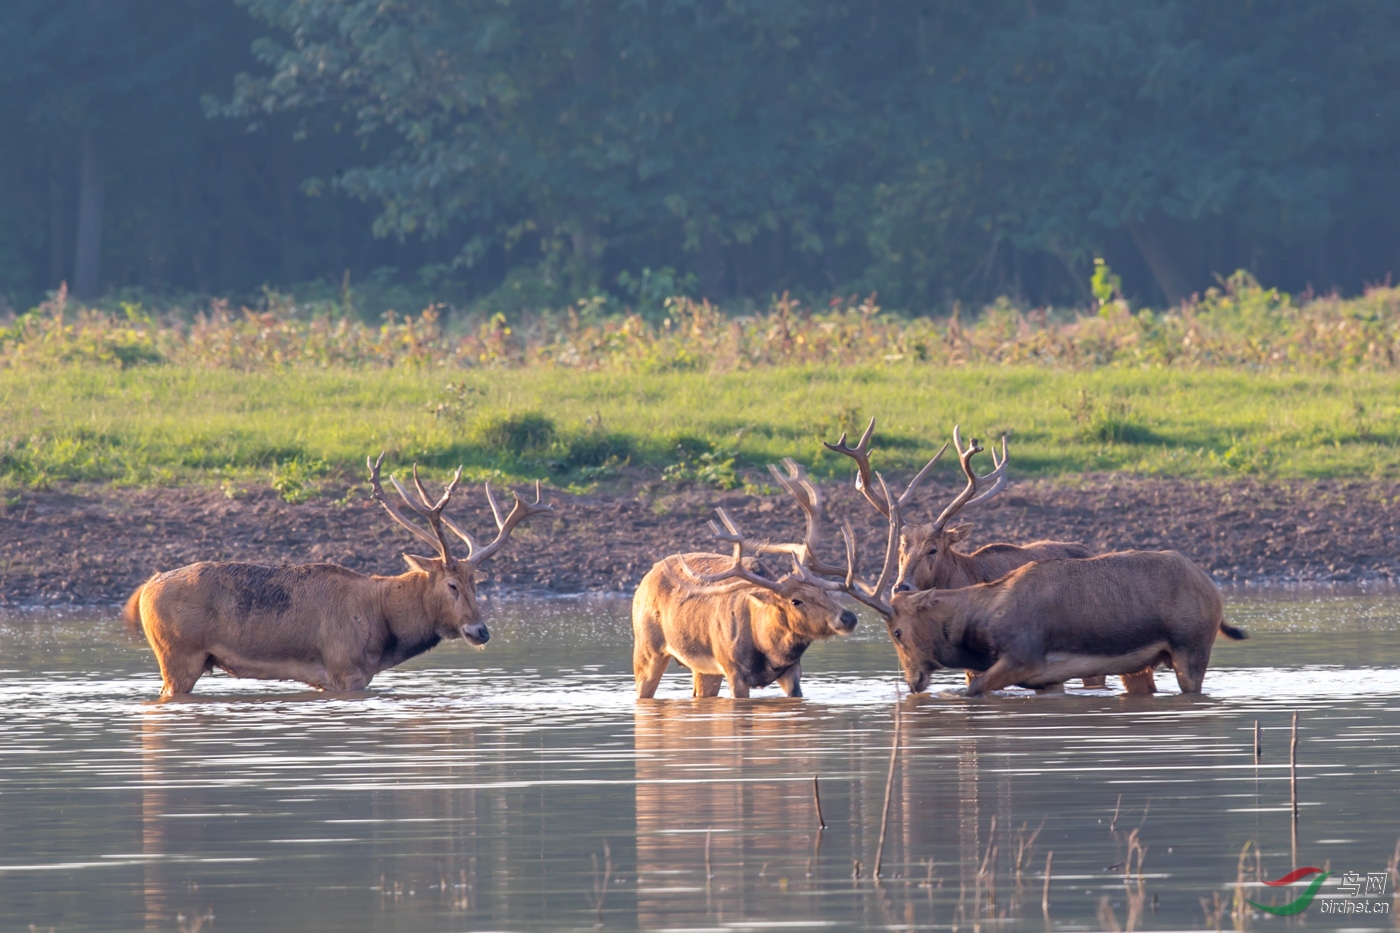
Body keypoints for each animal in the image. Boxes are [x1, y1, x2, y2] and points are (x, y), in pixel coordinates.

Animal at [123, 453, 551, 694]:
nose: (481, 631)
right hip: (177, 655)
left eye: (477, 583)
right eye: (451, 585)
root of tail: (143, 589)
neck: (383, 623)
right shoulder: (346, 668)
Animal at [630, 465, 868, 697]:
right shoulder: (732, 668)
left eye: (824, 591)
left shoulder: (792, 670)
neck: (767, 646)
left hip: (702, 669)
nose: (848, 617)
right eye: (795, 601)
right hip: (646, 649)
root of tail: (645, 579)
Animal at [828, 476, 1248, 694]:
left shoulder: (1024, 658)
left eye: (897, 632)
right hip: (1144, 663)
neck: (979, 627)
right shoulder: (1047, 679)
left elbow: (972, 691)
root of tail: (1213, 587)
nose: (913, 681)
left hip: (1192, 649)